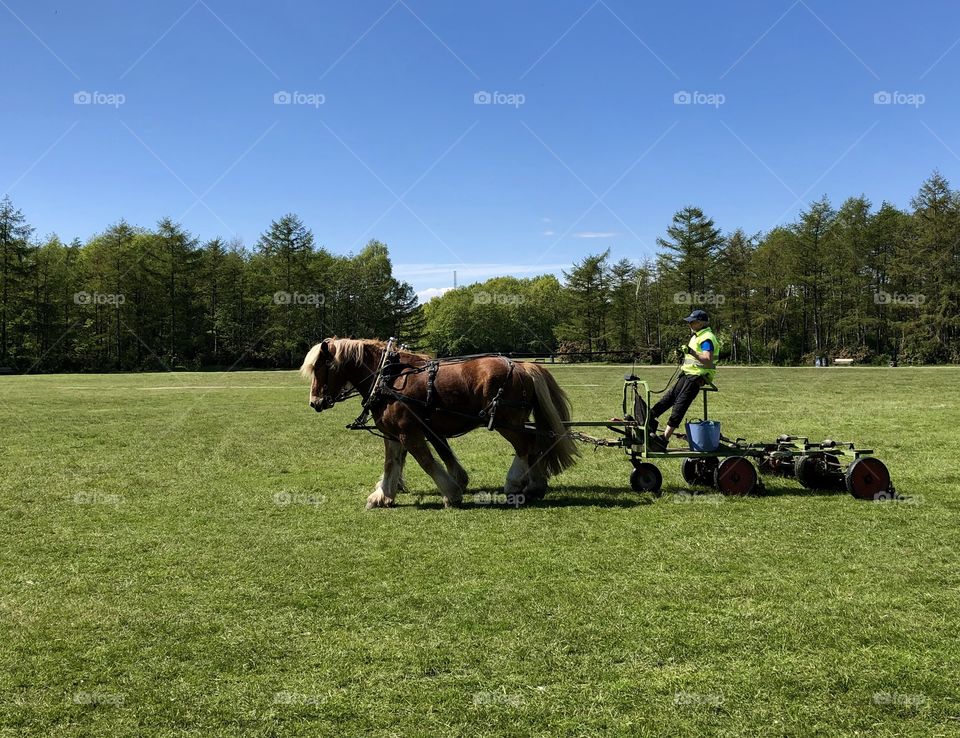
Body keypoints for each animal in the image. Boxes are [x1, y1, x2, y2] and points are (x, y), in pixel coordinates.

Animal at [302, 338, 576, 506]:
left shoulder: (409, 432)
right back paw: (534, 485)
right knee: (536, 443)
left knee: (526, 445)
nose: (315, 402)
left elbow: (426, 461)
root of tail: (522, 366)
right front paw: (383, 495)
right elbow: (393, 462)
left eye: (320, 367)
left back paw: (515, 484)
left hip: (505, 420)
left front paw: (451, 493)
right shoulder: (395, 433)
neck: (389, 378)